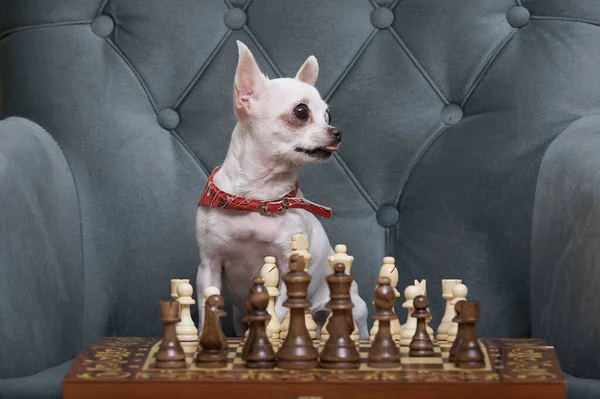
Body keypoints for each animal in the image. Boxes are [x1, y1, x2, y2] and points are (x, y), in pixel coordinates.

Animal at [196, 41, 370, 338]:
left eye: (328, 115)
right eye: (301, 112)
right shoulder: (209, 266)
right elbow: (208, 304)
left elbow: (275, 312)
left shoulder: (289, 268)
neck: (258, 198)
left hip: (356, 311)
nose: (337, 131)